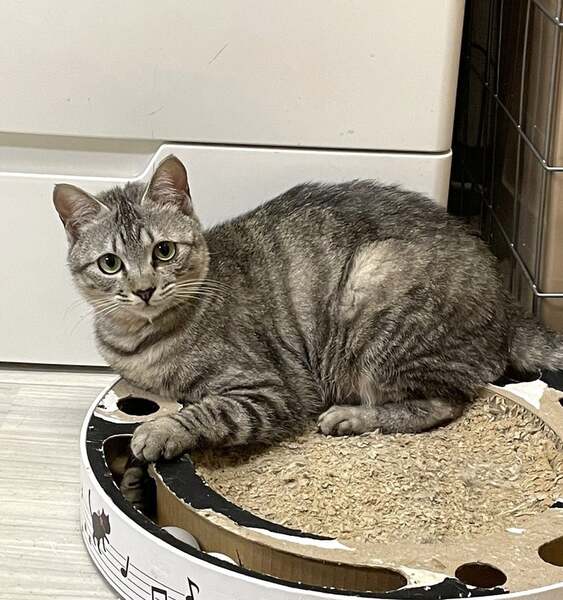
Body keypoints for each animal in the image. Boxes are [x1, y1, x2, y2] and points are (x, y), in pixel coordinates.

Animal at [54, 155, 563, 463]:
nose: (143, 289)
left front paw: (160, 430)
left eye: (163, 251)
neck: (141, 340)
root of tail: (507, 306)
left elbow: (207, 411)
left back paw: (351, 416)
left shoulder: (271, 390)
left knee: (441, 403)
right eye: (110, 263)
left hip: (375, 297)